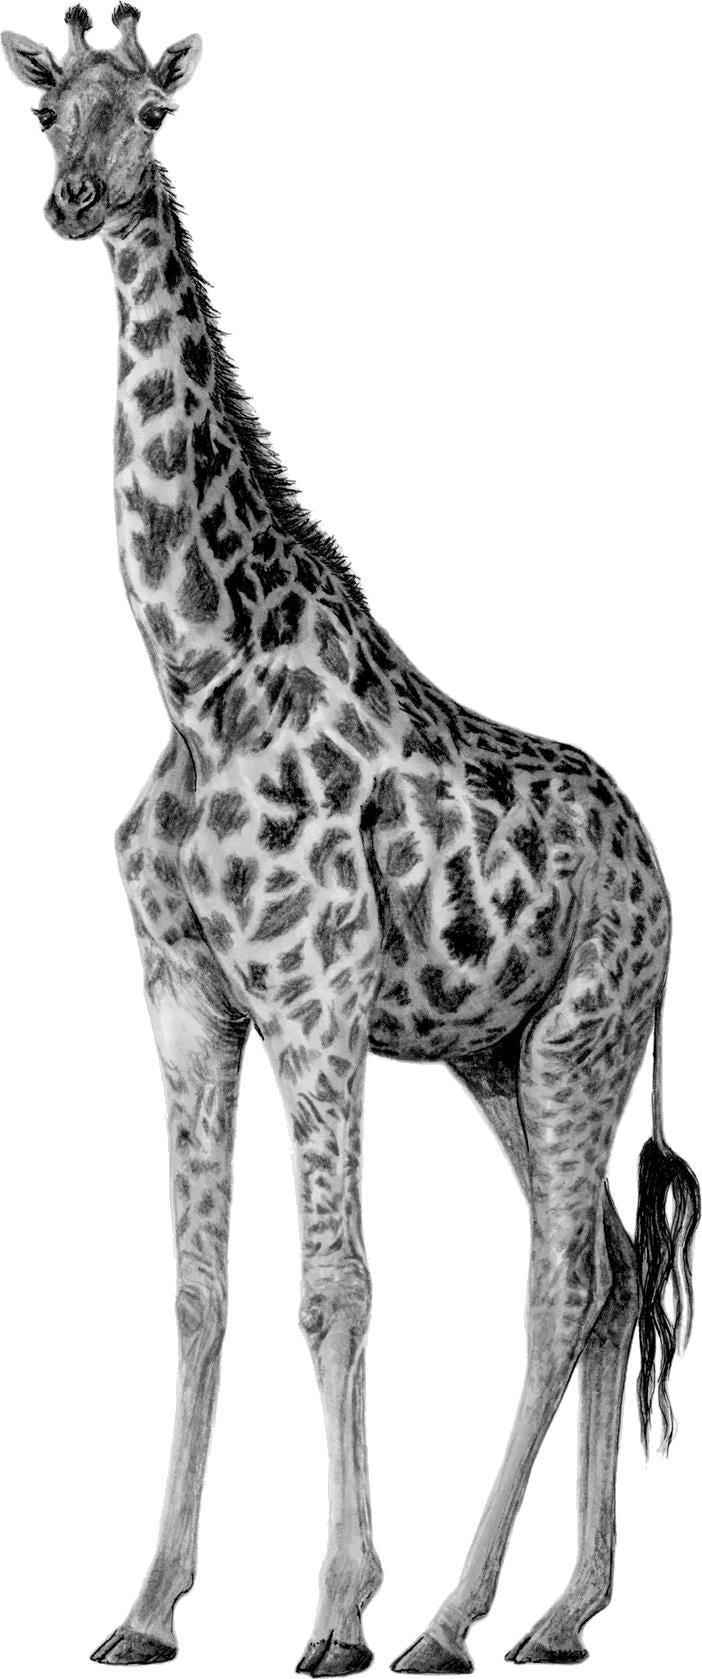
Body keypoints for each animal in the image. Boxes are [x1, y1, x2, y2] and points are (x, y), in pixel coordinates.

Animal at [3, 6, 699, 1673]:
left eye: (153, 115)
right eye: (48, 108)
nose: (73, 204)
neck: (192, 665)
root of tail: (654, 859)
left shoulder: (312, 996)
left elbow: (336, 1285)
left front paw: (336, 1604)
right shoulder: (188, 999)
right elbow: (197, 1287)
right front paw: (145, 1603)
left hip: (580, 1037)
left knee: (559, 1278)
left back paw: (449, 1611)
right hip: (497, 1055)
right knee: (607, 1269)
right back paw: (560, 1609)